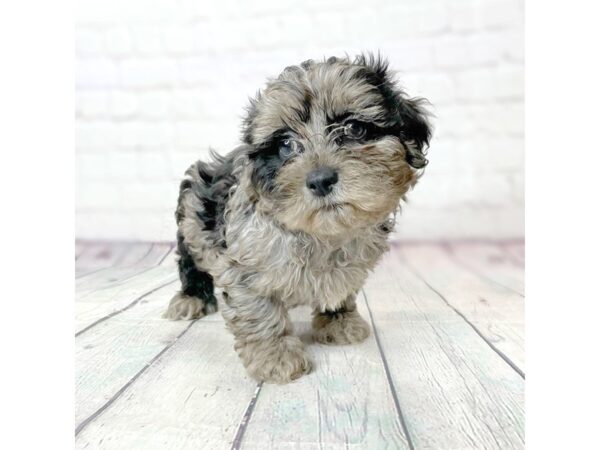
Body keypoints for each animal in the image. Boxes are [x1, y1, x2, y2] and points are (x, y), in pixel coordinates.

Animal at [164, 52, 432, 384]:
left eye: (354, 129)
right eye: (286, 145)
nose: (320, 180)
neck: (321, 233)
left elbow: (342, 287)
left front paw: (339, 321)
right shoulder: (243, 264)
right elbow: (259, 311)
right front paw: (275, 356)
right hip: (193, 216)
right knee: (189, 258)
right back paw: (192, 297)